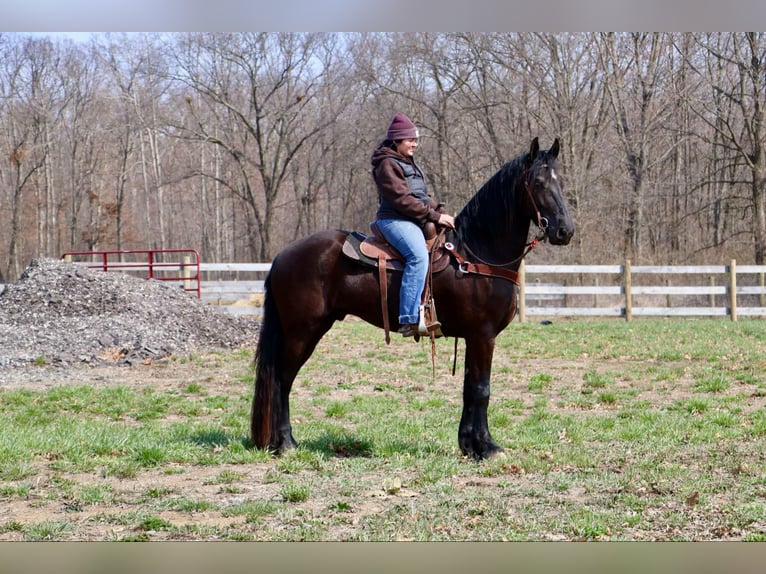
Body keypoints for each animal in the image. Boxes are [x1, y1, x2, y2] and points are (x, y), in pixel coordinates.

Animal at [251, 137, 574, 460]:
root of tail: (282, 257)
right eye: (539, 182)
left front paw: (469, 445)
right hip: (302, 331)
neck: (476, 254)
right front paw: (487, 447)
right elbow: (482, 390)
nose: (565, 231)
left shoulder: (473, 337)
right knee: (282, 378)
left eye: (560, 180)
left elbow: (470, 388)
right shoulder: (483, 335)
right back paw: (286, 443)